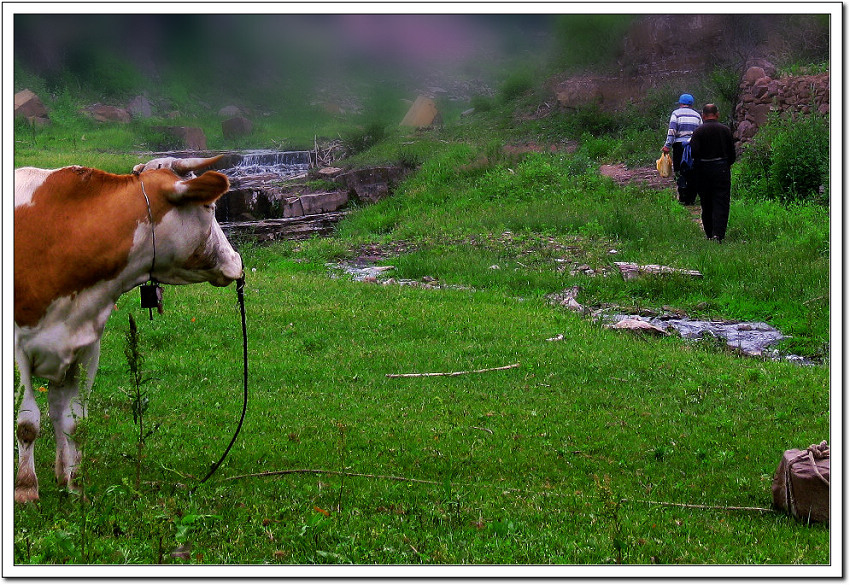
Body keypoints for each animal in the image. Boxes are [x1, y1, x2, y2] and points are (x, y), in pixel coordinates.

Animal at [14, 161, 243, 502]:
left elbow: (74, 422)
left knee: (55, 409)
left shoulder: (85, 345)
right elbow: (27, 422)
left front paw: (76, 485)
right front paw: (26, 489)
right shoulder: (17, 349)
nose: (236, 260)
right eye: (210, 207)